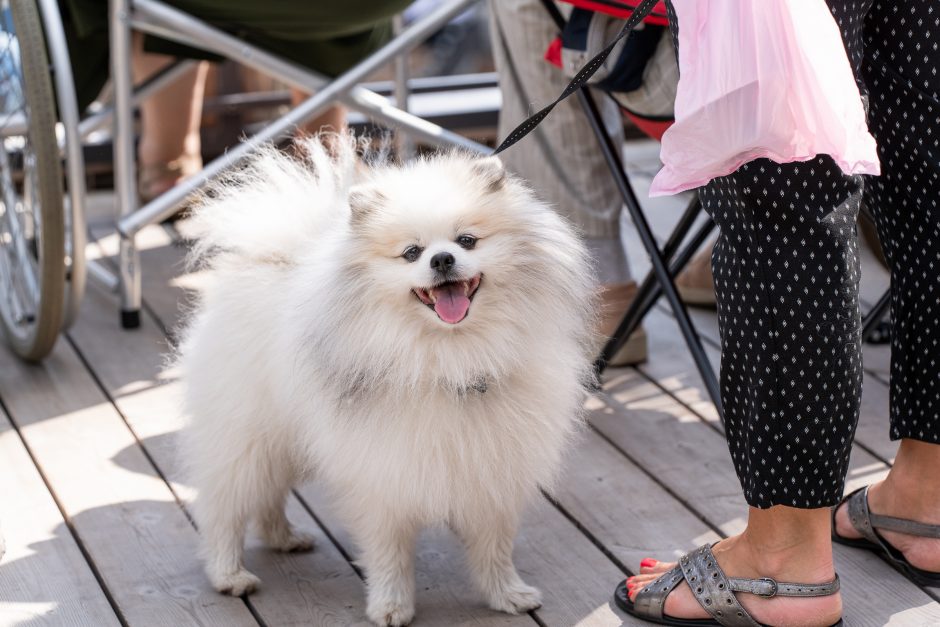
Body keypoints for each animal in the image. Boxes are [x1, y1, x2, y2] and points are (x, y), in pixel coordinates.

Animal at [176, 135, 596, 624]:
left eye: (467, 240)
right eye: (411, 252)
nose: (443, 258)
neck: (450, 357)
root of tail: (274, 257)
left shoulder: (490, 470)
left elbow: (495, 546)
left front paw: (507, 594)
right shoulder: (383, 475)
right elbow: (389, 553)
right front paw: (391, 606)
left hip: (282, 437)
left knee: (267, 495)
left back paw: (284, 537)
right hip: (246, 436)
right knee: (224, 508)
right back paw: (229, 574)